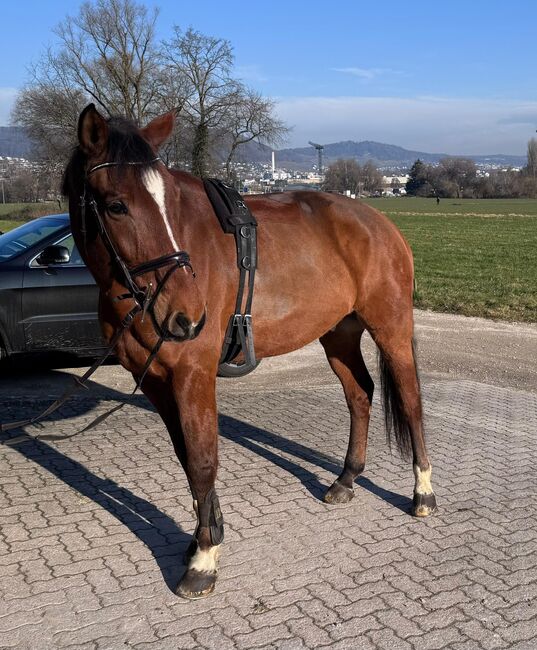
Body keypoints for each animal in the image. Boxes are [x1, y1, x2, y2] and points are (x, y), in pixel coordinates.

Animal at [62, 105, 438, 596]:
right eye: (115, 205)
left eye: (171, 203)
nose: (187, 316)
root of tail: (378, 223)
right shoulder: (157, 381)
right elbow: (186, 457)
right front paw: (204, 535)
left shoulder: (193, 374)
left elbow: (203, 459)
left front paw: (204, 558)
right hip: (337, 334)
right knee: (360, 394)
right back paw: (346, 478)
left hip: (390, 328)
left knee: (410, 401)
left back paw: (423, 492)